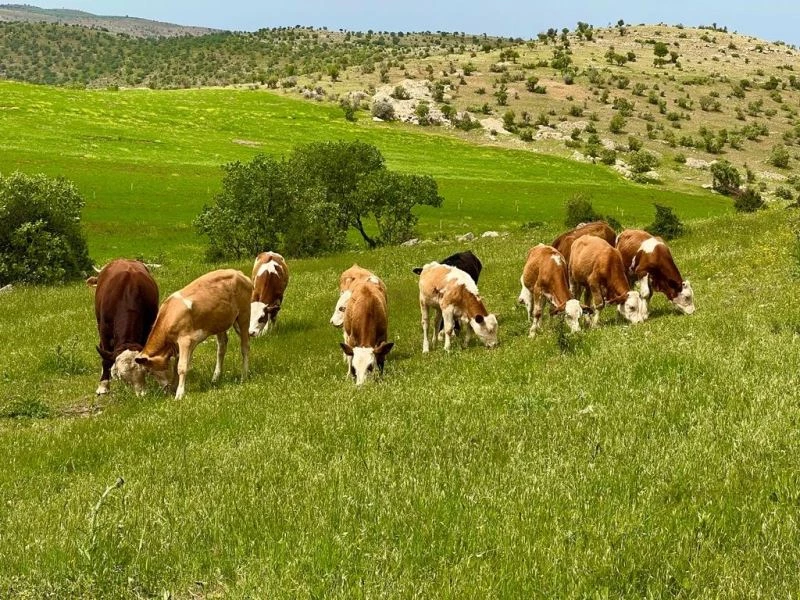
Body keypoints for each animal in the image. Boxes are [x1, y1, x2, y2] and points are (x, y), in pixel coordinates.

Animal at [88, 258, 159, 396]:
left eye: (143, 372)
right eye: (122, 377)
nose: (141, 394)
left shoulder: (148, 327)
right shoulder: (104, 330)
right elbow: (106, 359)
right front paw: (103, 385)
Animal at [134, 270, 252, 400]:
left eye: (148, 371)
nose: (164, 390)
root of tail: (239, 273)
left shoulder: (185, 340)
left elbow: (181, 367)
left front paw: (179, 394)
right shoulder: (184, 344)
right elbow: (178, 365)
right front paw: (175, 387)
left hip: (244, 314)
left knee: (245, 347)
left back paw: (244, 376)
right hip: (220, 322)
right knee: (222, 347)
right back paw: (216, 377)